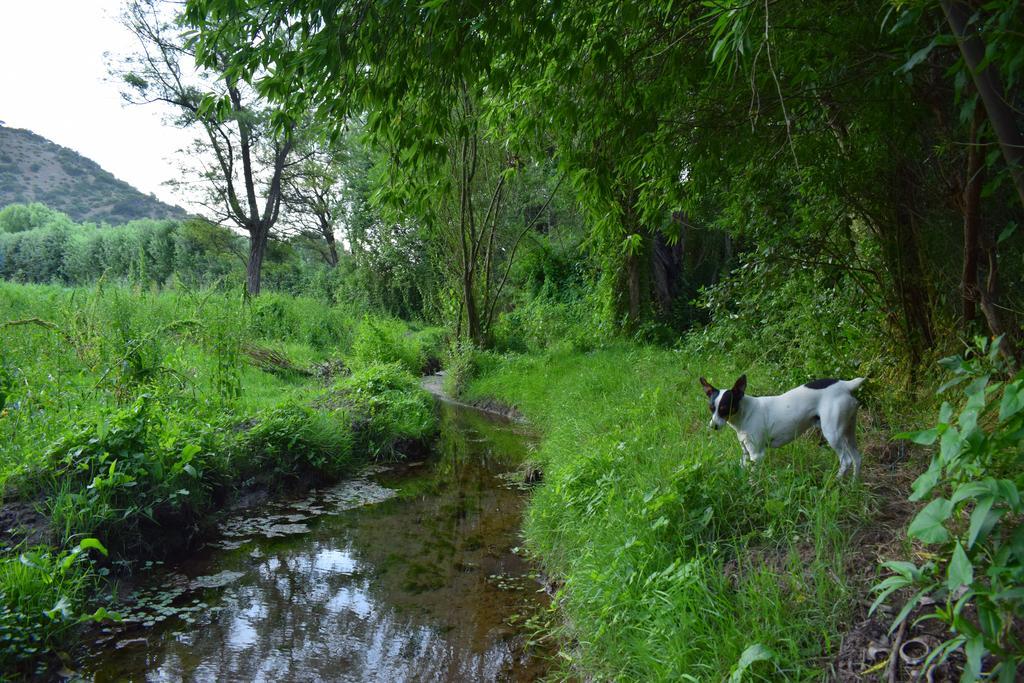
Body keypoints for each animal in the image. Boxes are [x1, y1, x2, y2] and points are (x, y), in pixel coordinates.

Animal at [696, 374, 864, 475]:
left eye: (725, 408)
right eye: (711, 408)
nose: (713, 426)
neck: (746, 413)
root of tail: (845, 385)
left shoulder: (757, 455)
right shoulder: (746, 452)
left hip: (832, 433)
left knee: (846, 461)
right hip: (848, 431)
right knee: (857, 459)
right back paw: (853, 487)